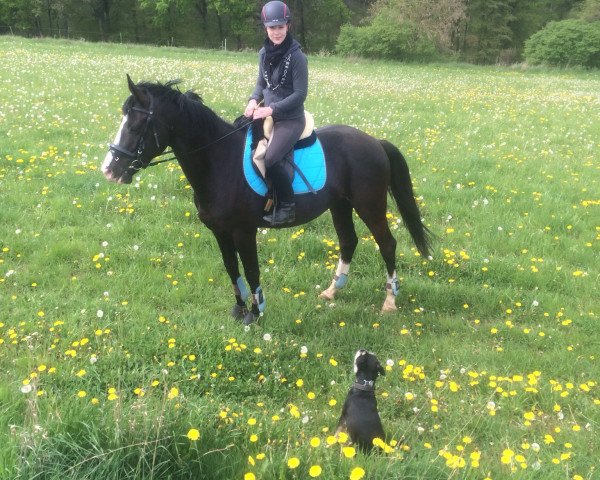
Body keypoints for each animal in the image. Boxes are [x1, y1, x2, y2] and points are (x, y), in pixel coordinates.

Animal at [104, 76, 432, 326]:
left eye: (135, 126)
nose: (109, 169)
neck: (219, 161)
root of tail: (375, 141)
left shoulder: (243, 231)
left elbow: (251, 270)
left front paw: (255, 312)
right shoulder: (219, 231)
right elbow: (231, 268)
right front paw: (238, 310)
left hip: (370, 204)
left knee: (387, 244)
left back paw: (389, 301)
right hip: (340, 204)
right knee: (348, 241)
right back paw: (332, 291)